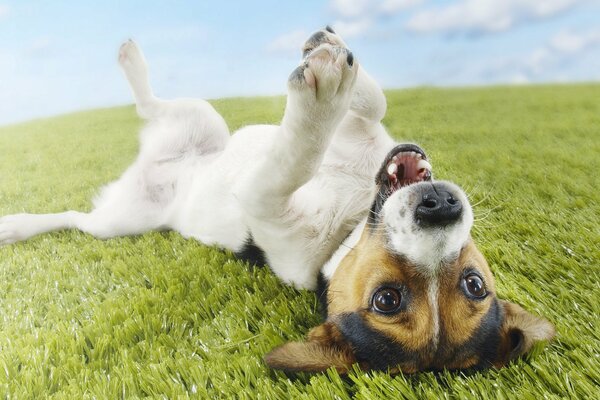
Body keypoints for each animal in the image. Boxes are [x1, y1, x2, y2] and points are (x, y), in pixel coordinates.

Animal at [0, 27, 552, 372]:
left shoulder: (264, 196)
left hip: (120, 221)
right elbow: (373, 103)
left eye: (387, 300)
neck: (353, 216)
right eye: (477, 282)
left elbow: (300, 154)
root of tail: (158, 177)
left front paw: (323, 91)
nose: (440, 208)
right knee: (152, 107)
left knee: (81, 213)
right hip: (204, 122)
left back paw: (17, 225)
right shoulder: (367, 135)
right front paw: (334, 49)